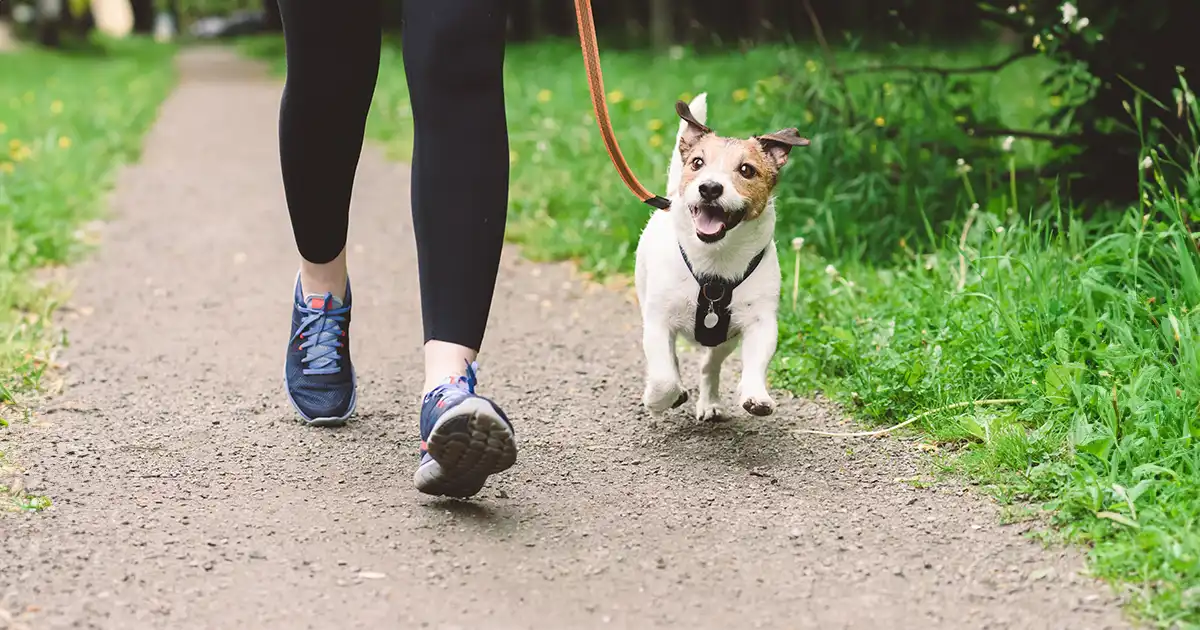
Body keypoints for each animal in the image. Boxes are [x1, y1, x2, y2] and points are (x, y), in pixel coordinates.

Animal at [633, 93, 811, 420]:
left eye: (747, 170)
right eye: (697, 163)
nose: (710, 188)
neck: (715, 263)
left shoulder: (759, 322)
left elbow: (755, 361)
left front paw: (756, 395)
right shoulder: (658, 321)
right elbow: (664, 377)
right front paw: (658, 399)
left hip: (724, 339)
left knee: (710, 365)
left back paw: (710, 402)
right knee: (671, 361)